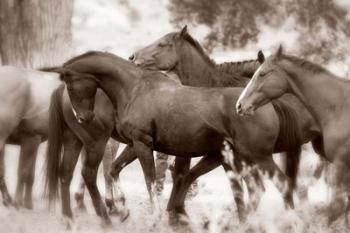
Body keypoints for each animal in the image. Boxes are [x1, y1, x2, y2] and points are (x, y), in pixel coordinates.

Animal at [49, 51, 300, 224]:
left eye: (70, 84)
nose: (83, 117)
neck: (135, 89)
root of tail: (266, 108)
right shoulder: (137, 144)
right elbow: (118, 170)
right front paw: (125, 209)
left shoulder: (142, 144)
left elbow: (150, 179)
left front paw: (156, 215)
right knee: (73, 173)